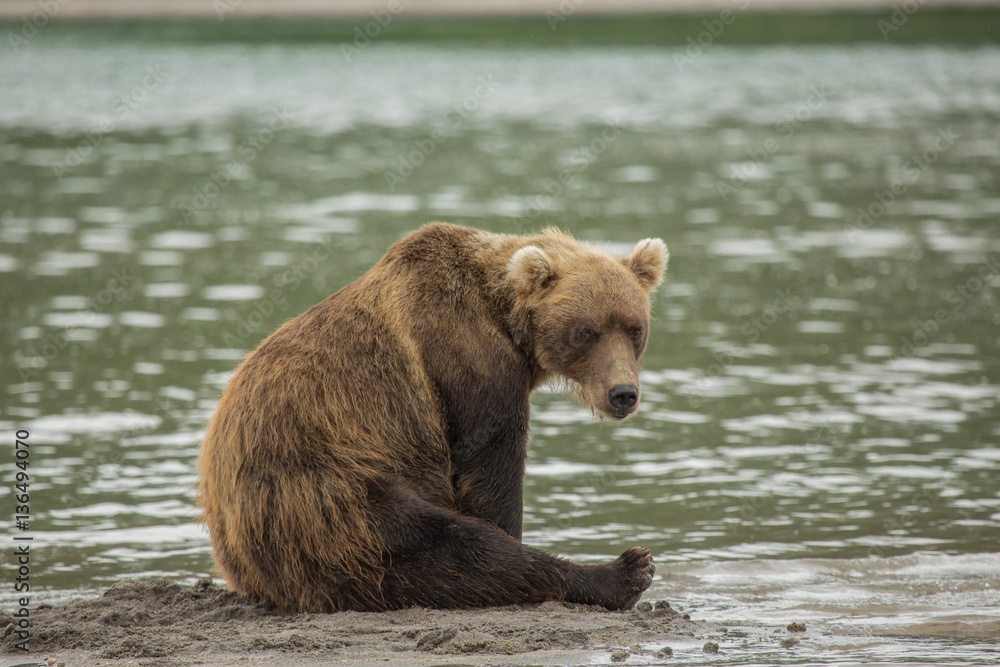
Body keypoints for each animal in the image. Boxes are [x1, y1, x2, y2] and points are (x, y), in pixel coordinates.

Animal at [197, 222, 668, 613]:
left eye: (634, 328)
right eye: (586, 332)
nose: (622, 394)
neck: (505, 320)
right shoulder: (466, 361)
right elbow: (490, 469)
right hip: (326, 495)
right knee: (451, 550)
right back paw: (624, 571)